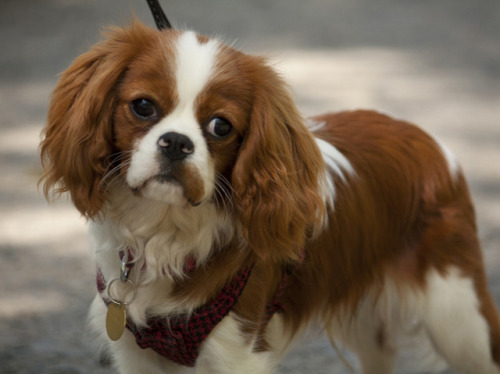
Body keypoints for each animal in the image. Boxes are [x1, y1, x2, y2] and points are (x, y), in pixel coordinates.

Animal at [40, 1, 500, 372]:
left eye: (220, 126)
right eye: (142, 106)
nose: (176, 143)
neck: (164, 232)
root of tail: (431, 141)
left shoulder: (237, 353)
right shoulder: (138, 355)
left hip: (459, 318)